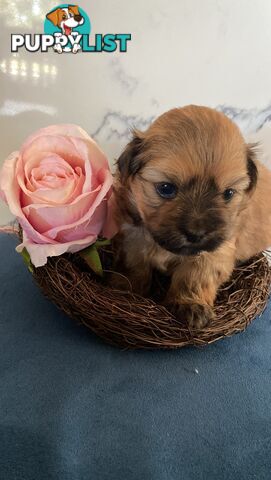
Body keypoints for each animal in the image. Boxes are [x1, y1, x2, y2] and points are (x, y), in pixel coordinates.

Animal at [113, 105, 271, 330]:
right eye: (166, 188)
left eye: (228, 193)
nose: (196, 234)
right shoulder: (133, 238)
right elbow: (134, 265)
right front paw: (124, 287)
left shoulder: (214, 253)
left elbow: (194, 277)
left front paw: (190, 305)